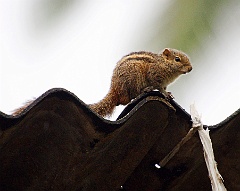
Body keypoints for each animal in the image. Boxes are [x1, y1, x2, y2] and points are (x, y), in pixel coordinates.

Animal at [12, 47, 192, 117]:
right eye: (177, 59)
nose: (190, 68)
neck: (164, 66)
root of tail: (114, 90)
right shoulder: (155, 76)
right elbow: (159, 87)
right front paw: (164, 93)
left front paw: (169, 93)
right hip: (133, 80)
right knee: (126, 99)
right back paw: (144, 90)